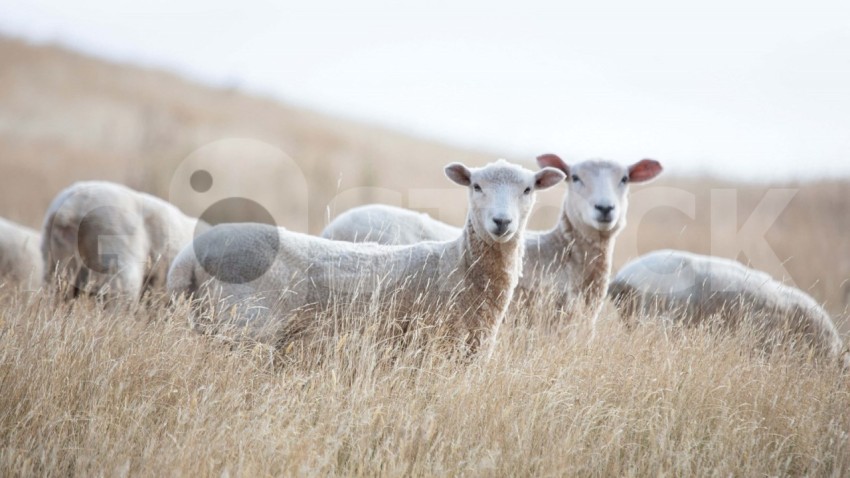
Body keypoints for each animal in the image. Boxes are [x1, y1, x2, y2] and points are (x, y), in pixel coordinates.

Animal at [166, 159, 564, 352]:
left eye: (528, 189)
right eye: (476, 186)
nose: (502, 221)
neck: (457, 265)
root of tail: (187, 256)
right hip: (243, 329)